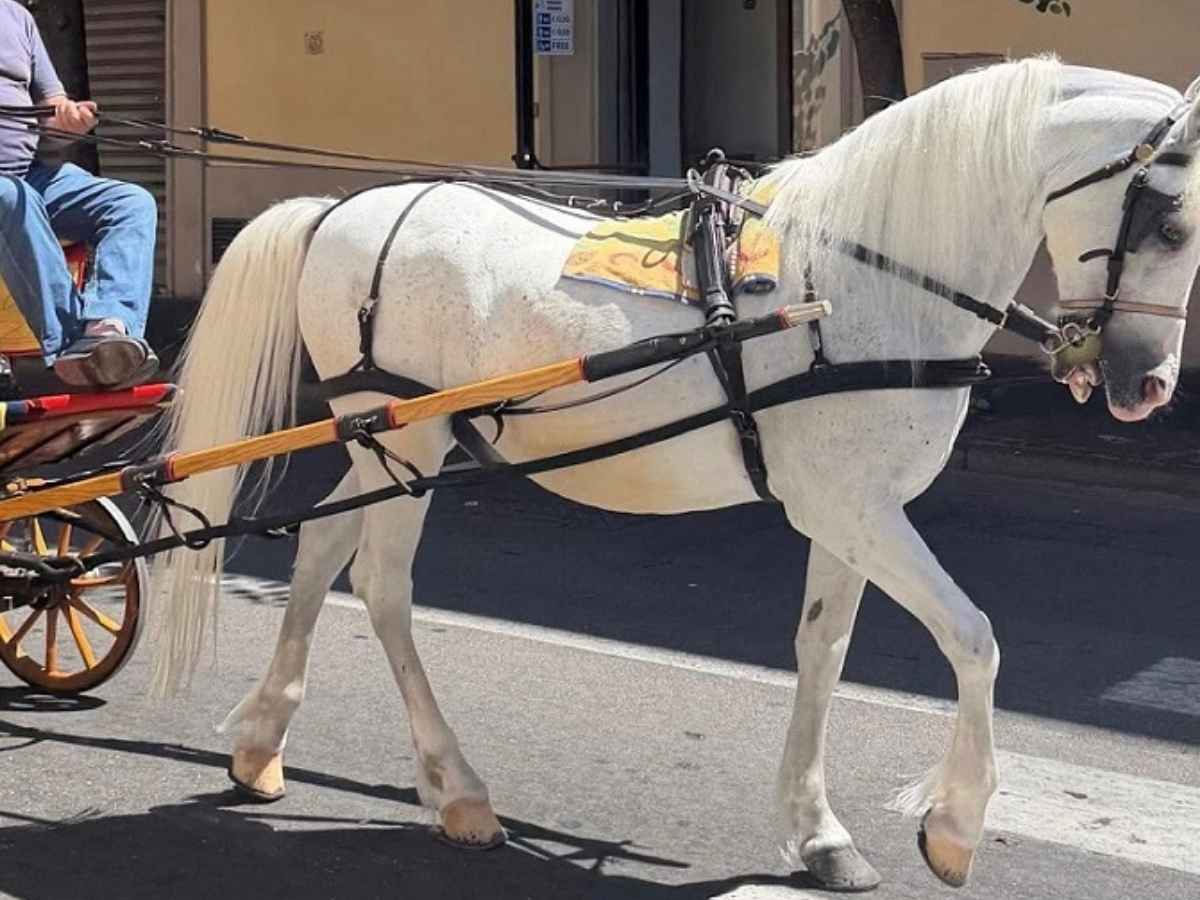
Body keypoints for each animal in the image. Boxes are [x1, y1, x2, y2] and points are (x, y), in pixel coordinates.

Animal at [149, 59, 1200, 891]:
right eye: (1174, 224)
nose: (1147, 386)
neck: (859, 281)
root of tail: (341, 209)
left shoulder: (851, 511)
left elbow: (823, 650)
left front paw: (817, 833)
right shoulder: (853, 509)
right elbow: (975, 640)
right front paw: (953, 825)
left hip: (388, 442)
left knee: (323, 546)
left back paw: (262, 742)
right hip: (410, 441)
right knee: (381, 586)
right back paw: (457, 789)